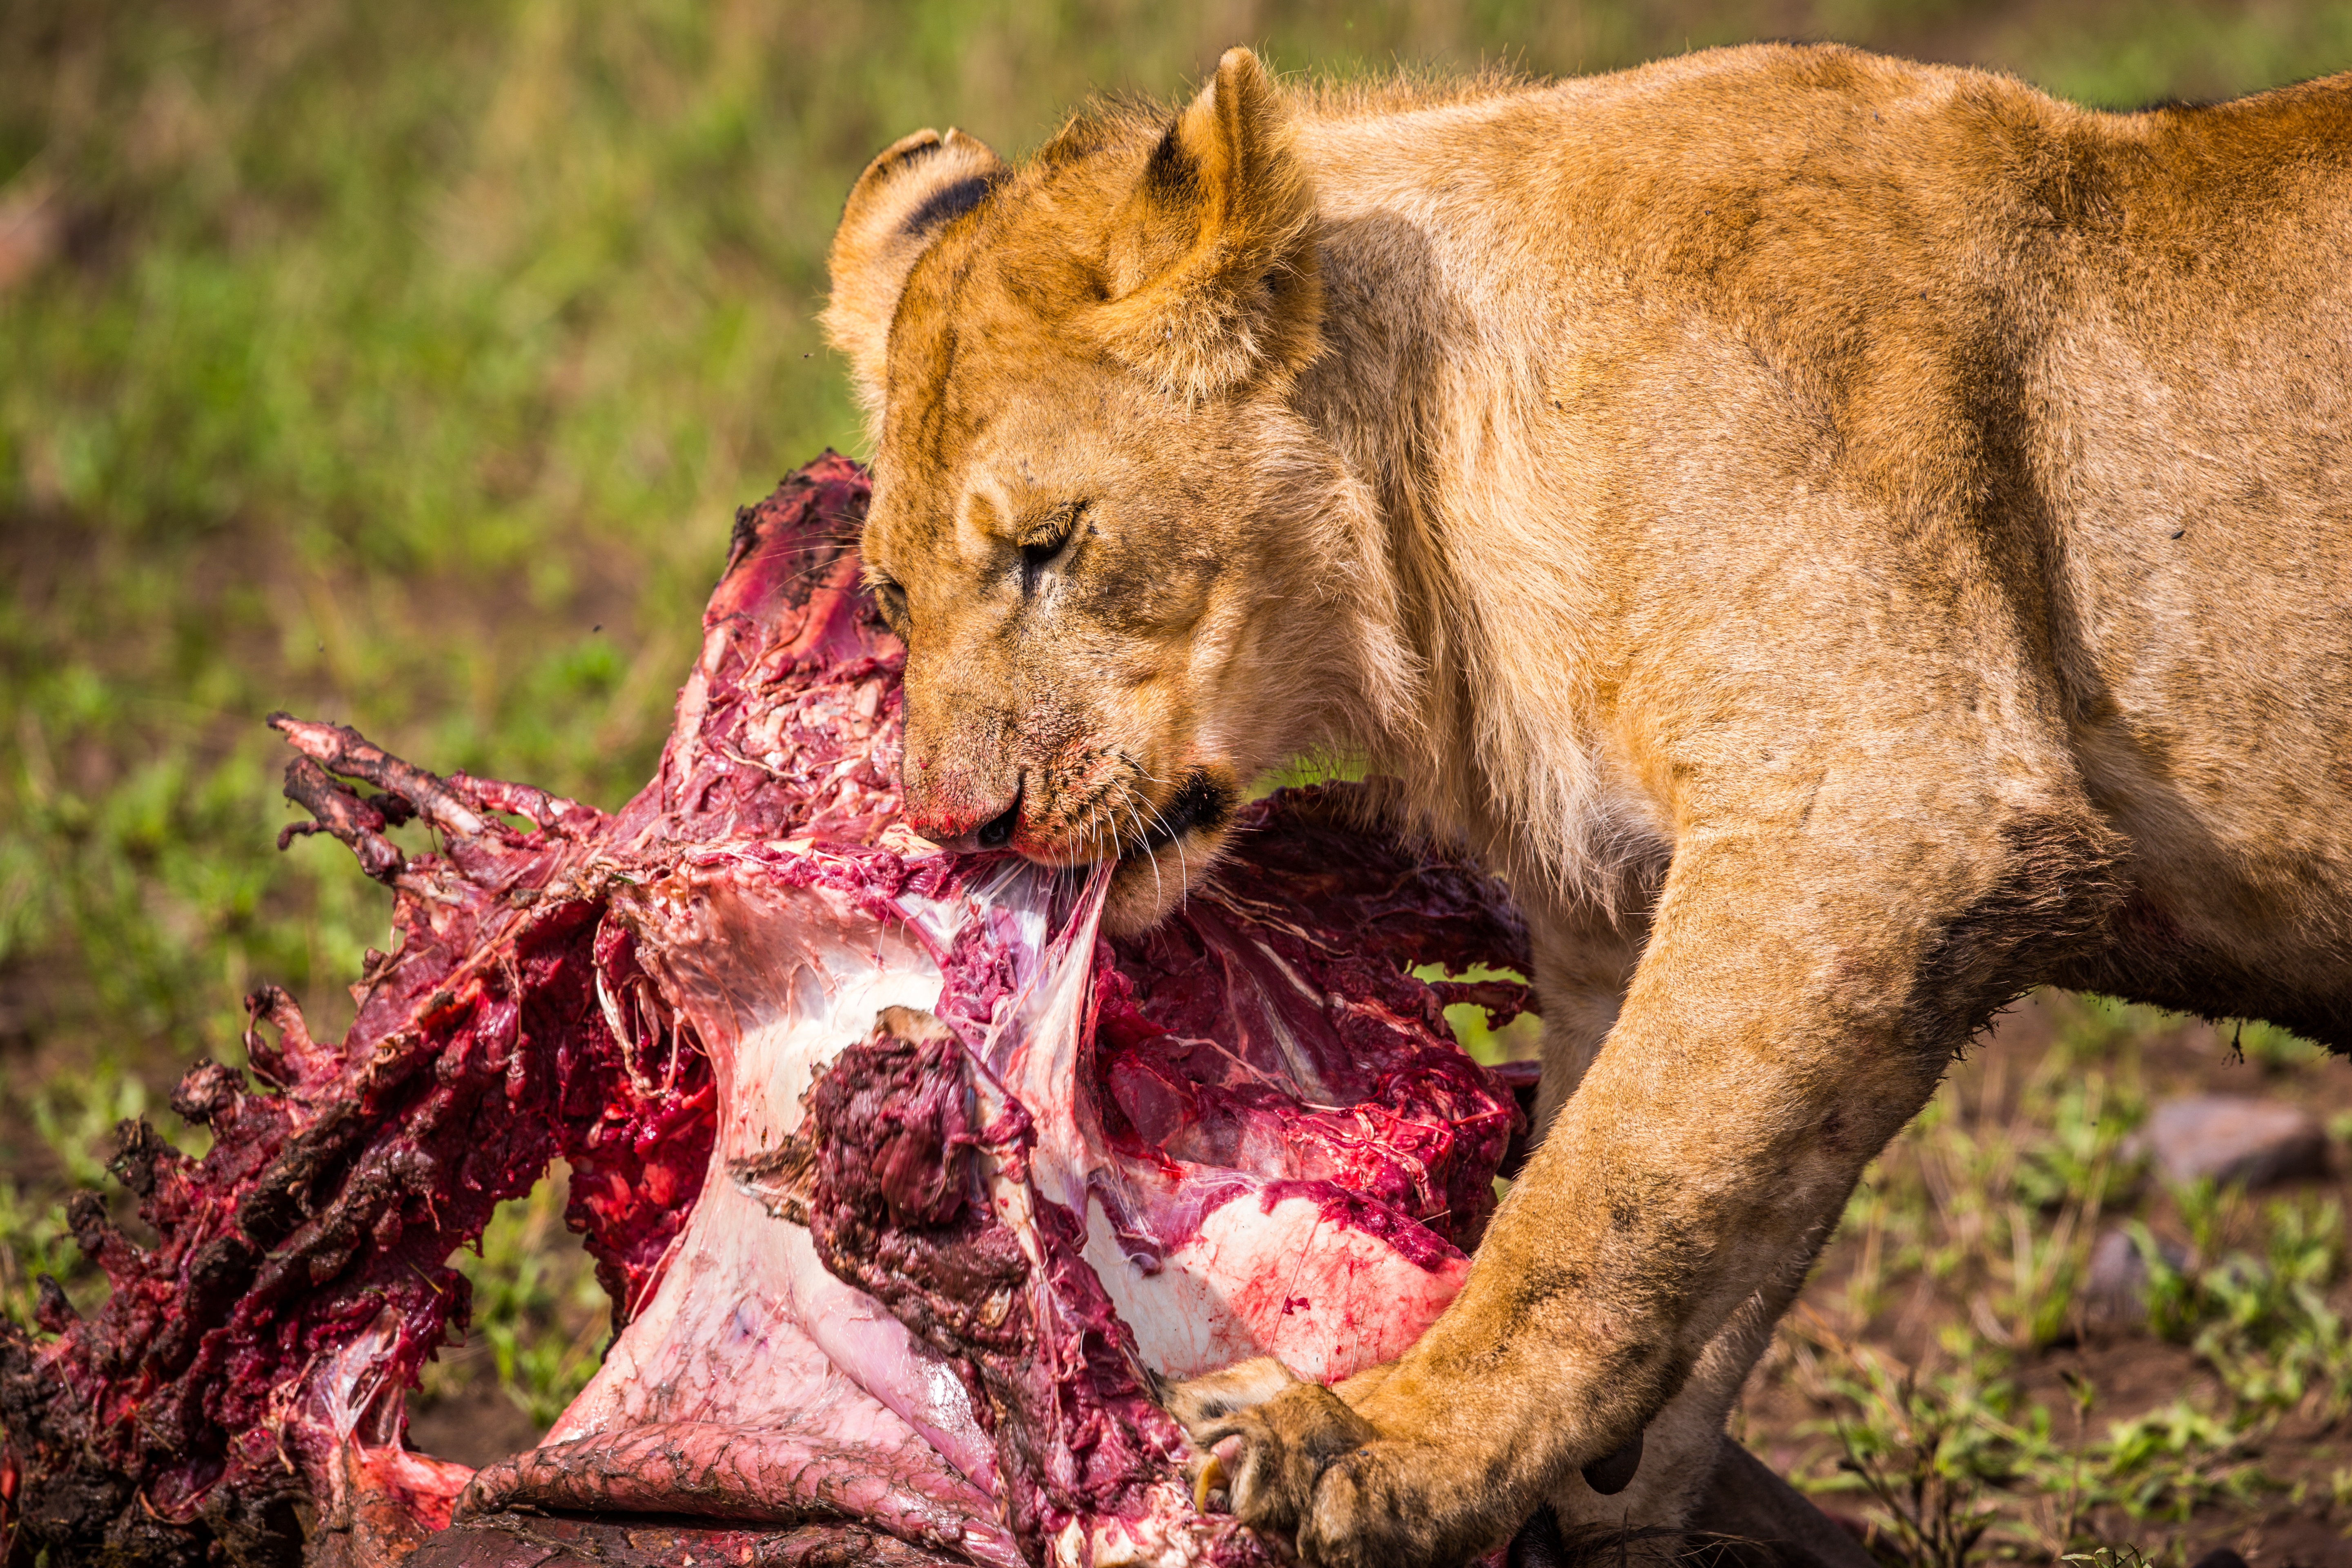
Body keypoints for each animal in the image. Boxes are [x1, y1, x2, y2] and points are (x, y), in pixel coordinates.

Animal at [822, 41, 2352, 1568]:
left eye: (1050, 544)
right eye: (891, 595)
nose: (957, 825)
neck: (1439, 494)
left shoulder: (1898, 807)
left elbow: (1597, 1203)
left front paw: (1372, 1448)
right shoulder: (1646, 918)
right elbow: (1691, 1237)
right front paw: (1586, 1498)